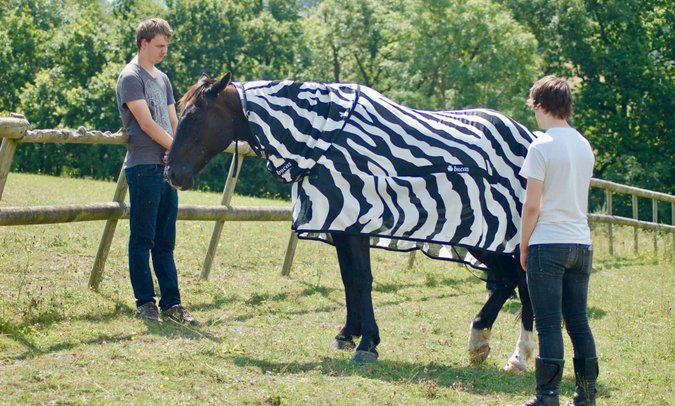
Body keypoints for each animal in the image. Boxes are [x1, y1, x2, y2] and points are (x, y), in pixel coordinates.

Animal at [168, 73, 532, 368]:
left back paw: (518, 354)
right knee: (508, 281)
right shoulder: (341, 225)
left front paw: (368, 343)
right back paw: (482, 343)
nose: (171, 173)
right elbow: (348, 280)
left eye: (194, 116)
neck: (325, 140)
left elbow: (361, 278)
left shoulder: (357, 221)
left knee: (519, 283)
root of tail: (526, 136)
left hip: (496, 236)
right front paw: (348, 334)